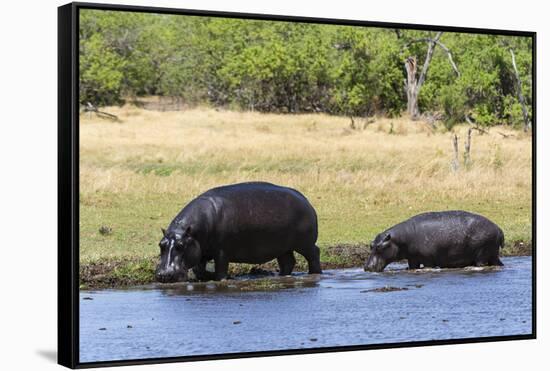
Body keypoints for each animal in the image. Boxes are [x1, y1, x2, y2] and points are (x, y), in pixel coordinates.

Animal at [155, 182, 322, 284]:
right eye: (161, 244)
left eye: (180, 246)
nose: (163, 275)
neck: (190, 232)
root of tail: (306, 201)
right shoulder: (200, 250)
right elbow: (199, 270)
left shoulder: (221, 252)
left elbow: (220, 269)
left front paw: (224, 278)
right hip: (282, 247)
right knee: (288, 262)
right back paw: (281, 276)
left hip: (305, 244)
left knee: (314, 254)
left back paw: (315, 274)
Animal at [364, 212, 506, 274]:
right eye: (371, 245)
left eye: (379, 247)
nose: (366, 267)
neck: (400, 239)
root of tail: (498, 228)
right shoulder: (412, 258)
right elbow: (413, 266)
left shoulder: (428, 260)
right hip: (493, 253)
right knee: (498, 262)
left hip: (482, 253)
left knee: (481, 263)